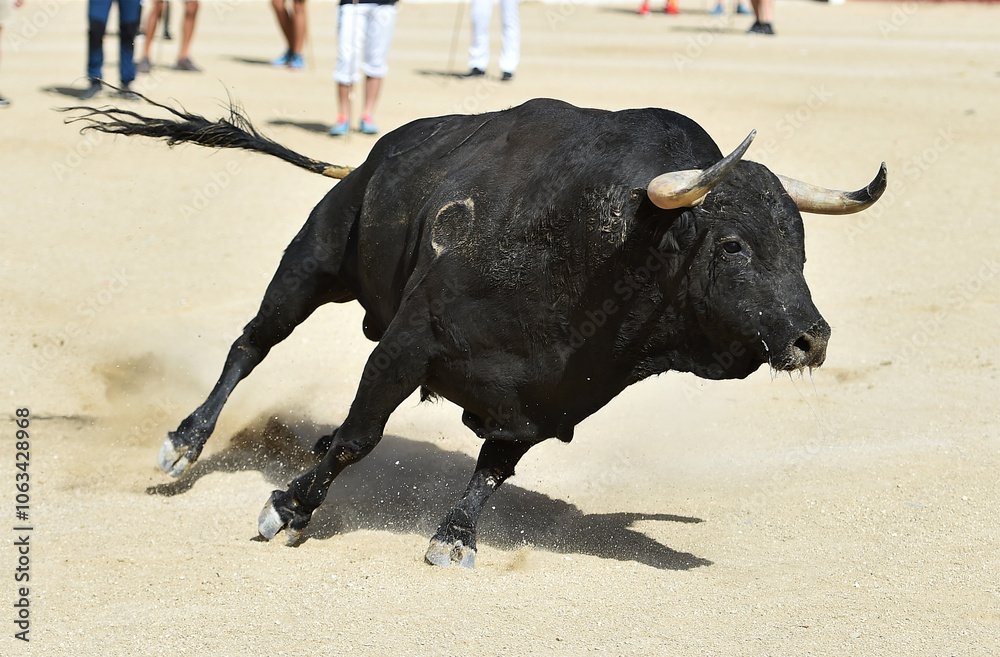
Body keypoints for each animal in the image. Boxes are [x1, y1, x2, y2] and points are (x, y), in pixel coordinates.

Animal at [68, 95, 884, 568]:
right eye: (733, 245)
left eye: (800, 246)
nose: (811, 338)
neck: (604, 244)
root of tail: (375, 154)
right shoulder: (405, 348)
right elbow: (358, 436)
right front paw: (288, 508)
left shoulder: (549, 400)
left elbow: (494, 466)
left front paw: (454, 537)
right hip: (316, 257)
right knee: (252, 343)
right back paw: (185, 442)